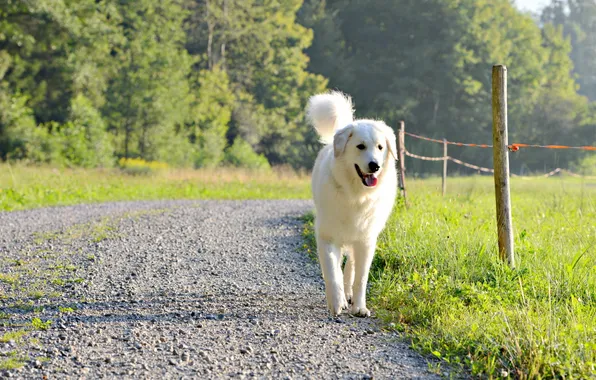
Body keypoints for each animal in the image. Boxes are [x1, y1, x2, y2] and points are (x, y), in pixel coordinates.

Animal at [308, 90, 396, 316]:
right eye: (360, 146)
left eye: (380, 147)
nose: (374, 166)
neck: (355, 195)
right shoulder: (327, 236)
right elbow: (332, 273)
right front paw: (336, 303)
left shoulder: (366, 241)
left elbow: (360, 279)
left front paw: (359, 307)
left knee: (351, 268)